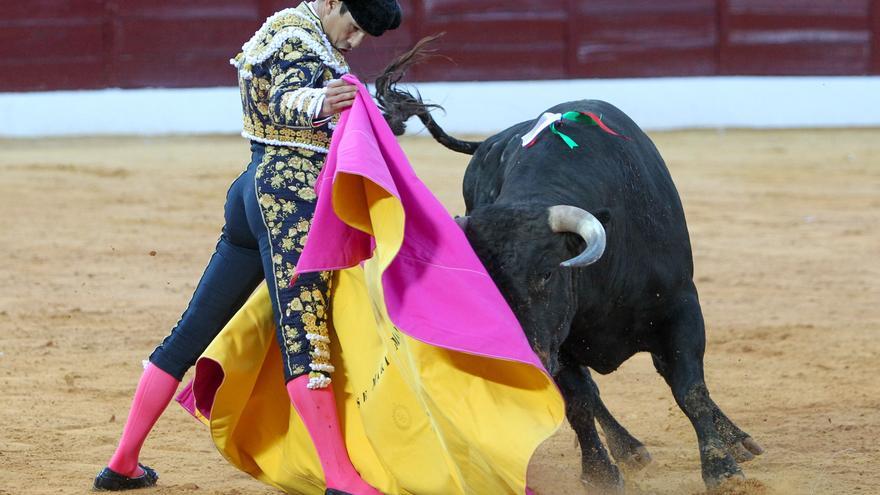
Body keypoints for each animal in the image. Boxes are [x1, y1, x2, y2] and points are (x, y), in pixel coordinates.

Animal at [376, 51, 764, 492]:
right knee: (593, 393)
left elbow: (689, 387)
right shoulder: (557, 341)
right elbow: (579, 401)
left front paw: (723, 471)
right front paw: (599, 473)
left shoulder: (680, 306)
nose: (516, 358)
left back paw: (736, 440)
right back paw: (628, 449)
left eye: (546, 274)